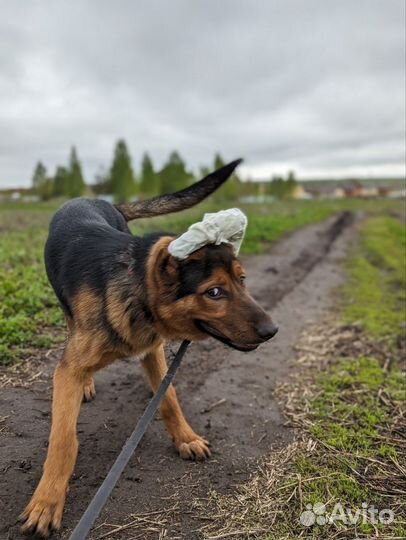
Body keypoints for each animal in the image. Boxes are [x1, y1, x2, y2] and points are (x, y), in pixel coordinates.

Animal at [20, 157, 278, 536]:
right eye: (214, 292)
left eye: (242, 281)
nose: (272, 331)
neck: (135, 293)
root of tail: (92, 199)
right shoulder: (69, 369)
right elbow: (64, 440)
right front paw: (47, 501)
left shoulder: (153, 350)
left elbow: (168, 397)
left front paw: (185, 438)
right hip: (67, 314)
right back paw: (87, 384)